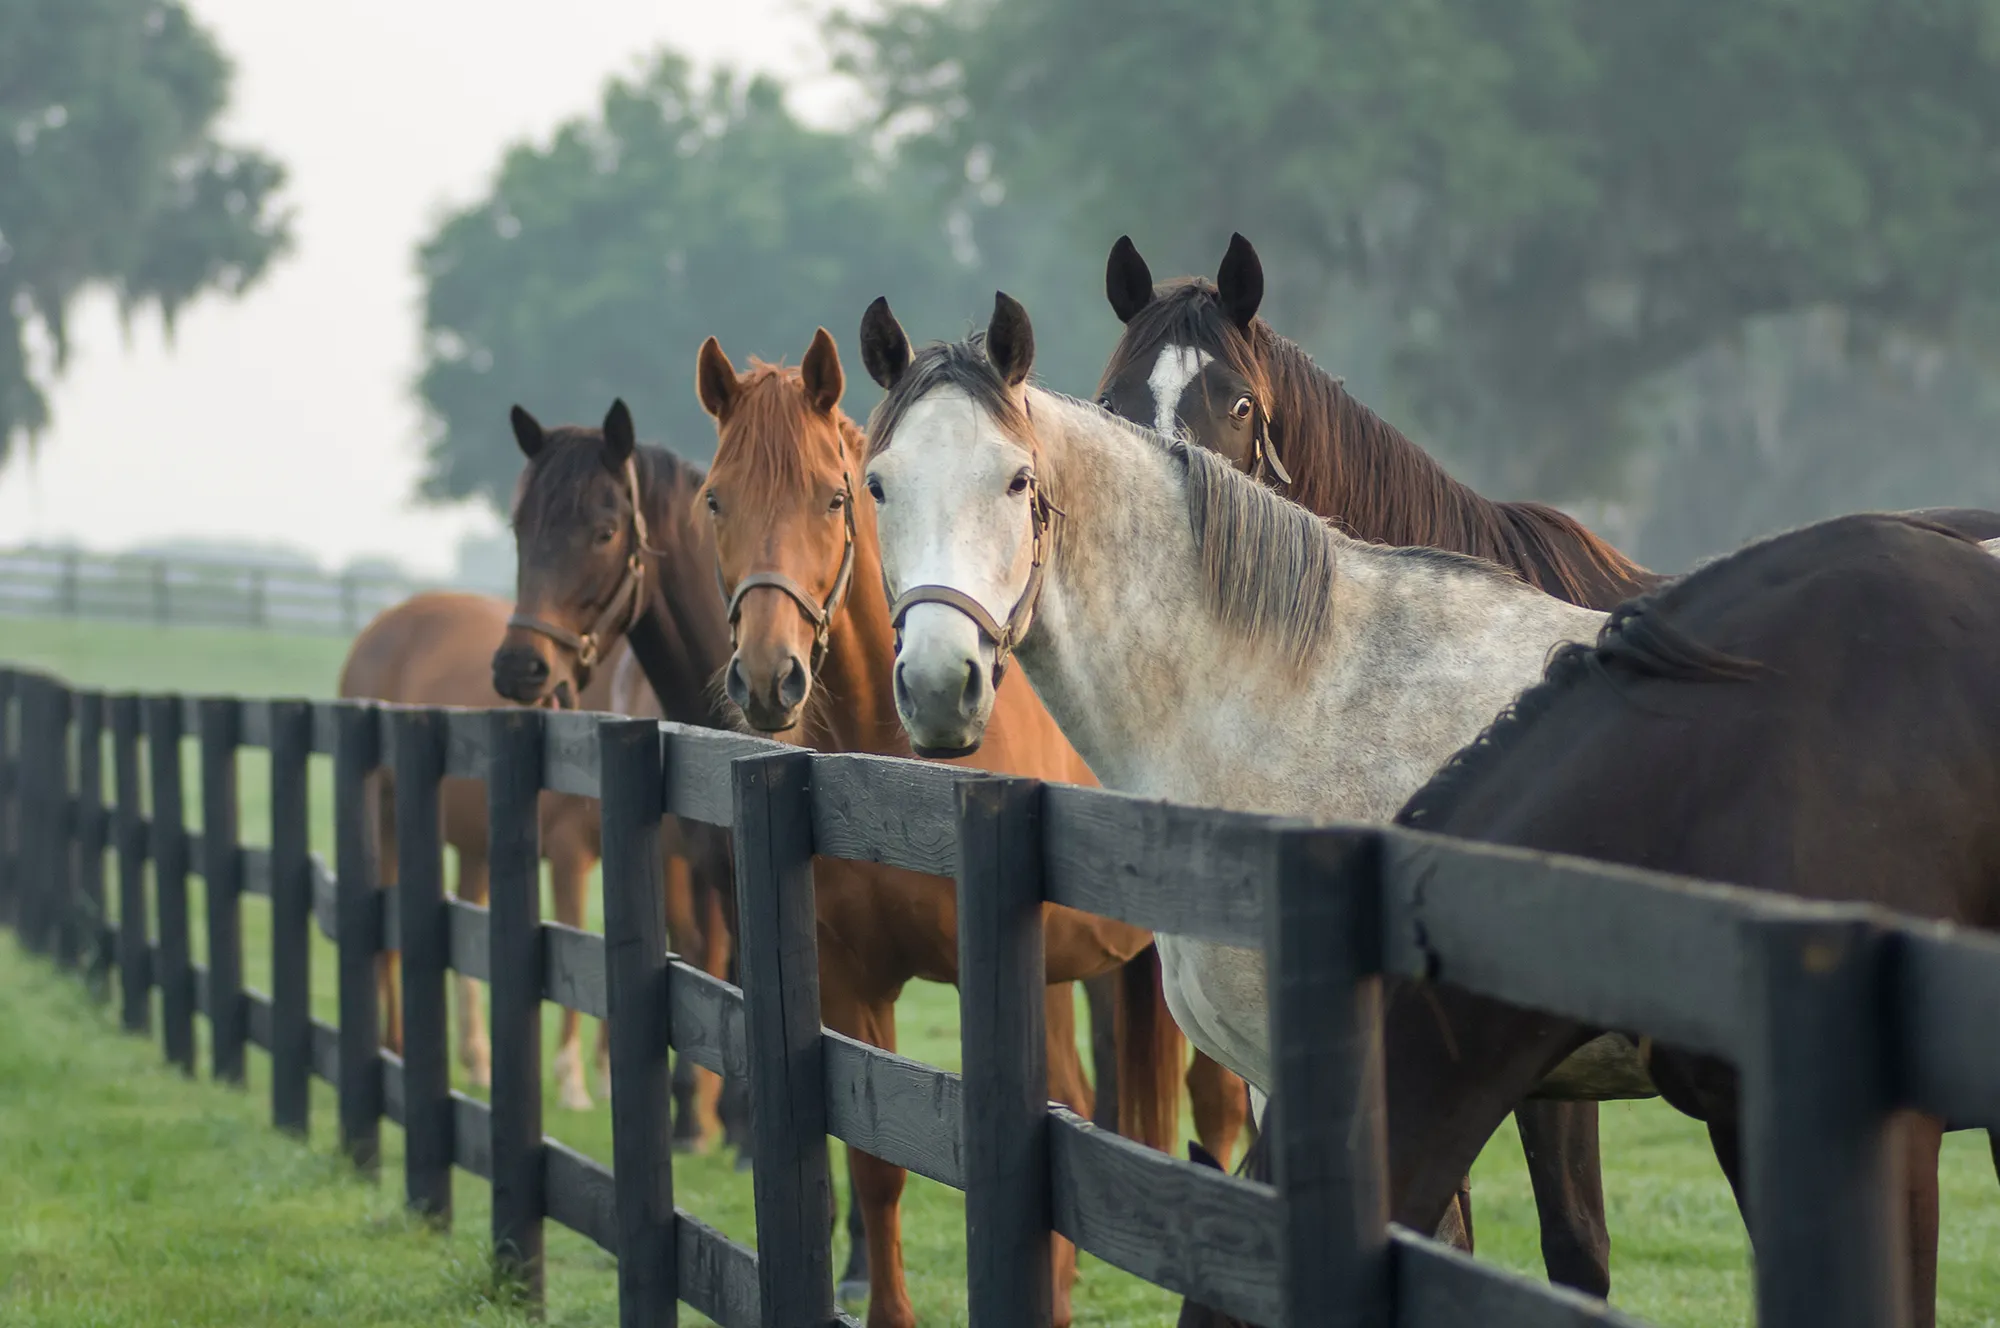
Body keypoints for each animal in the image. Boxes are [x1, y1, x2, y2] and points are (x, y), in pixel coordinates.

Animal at [694, 327, 1243, 1328]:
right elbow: (876, 1166)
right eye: (716, 498)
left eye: (833, 497)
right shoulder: (852, 985)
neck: (895, 777)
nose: (767, 676)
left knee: (1210, 1109)